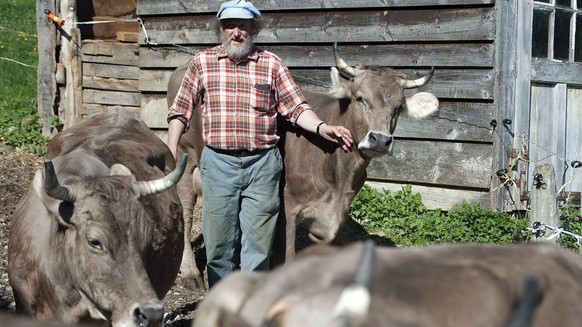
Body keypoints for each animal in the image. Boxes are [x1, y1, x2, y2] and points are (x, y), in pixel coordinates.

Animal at [167, 44, 440, 290]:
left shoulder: (333, 220)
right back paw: (190, 274)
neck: (339, 175)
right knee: (186, 212)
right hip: (184, 156)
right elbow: (287, 259)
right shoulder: (287, 208)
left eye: (399, 108)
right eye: (360, 98)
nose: (380, 139)